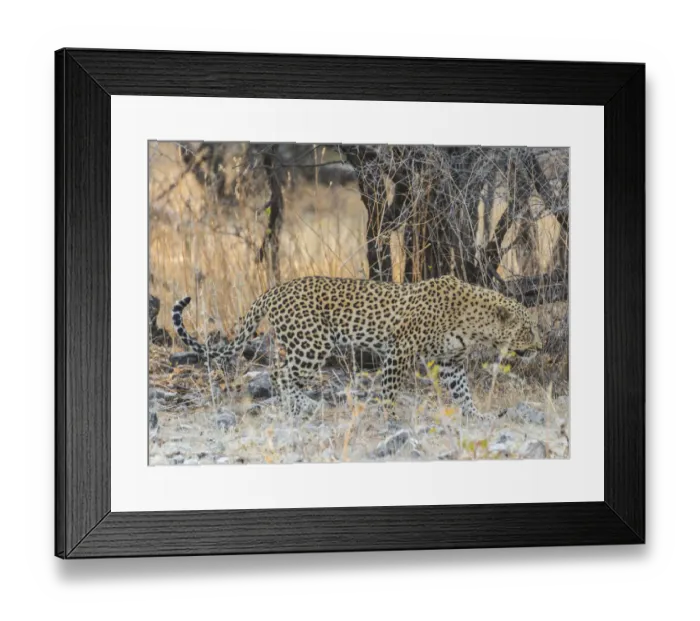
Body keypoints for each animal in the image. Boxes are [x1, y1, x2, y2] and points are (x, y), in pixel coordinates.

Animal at [171, 274, 542, 420]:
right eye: (528, 328)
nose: (540, 346)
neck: (475, 322)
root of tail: (274, 289)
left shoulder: (451, 361)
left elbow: (463, 392)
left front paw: (476, 415)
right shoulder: (400, 350)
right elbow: (390, 389)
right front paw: (391, 420)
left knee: (280, 372)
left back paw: (303, 405)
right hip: (313, 343)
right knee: (279, 372)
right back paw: (304, 406)